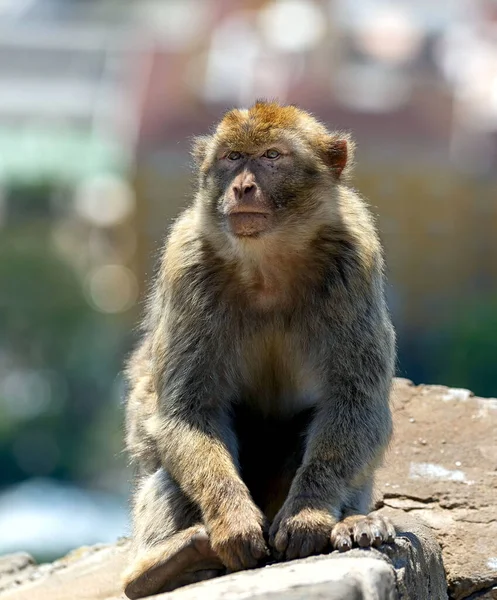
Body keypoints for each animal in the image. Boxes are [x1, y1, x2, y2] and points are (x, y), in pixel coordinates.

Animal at [123, 101, 396, 596]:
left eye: (271, 156)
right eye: (232, 157)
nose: (243, 186)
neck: (267, 262)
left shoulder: (356, 260)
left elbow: (356, 402)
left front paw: (310, 516)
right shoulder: (185, 262)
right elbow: (188, 411)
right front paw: (233, 523)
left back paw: (353, 523)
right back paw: (163, 564)